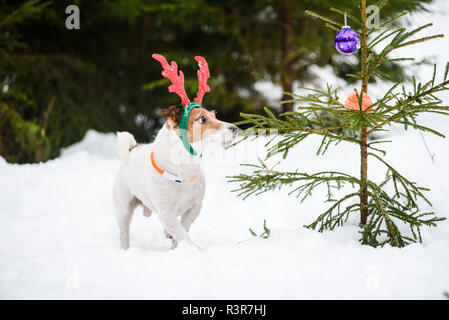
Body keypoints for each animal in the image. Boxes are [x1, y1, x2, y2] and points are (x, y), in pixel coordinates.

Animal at [112, 53, 238, 250]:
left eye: (215, 116)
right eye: (202, 119)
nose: (235, 128)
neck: (183, 168)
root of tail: (133, 149)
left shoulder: (195, 206)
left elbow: (184, 226)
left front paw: (173, 242)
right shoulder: (166, 213)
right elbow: (182, 234)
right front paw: (192, 250)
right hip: (123, 207)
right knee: (124, 232)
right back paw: (125, 249)